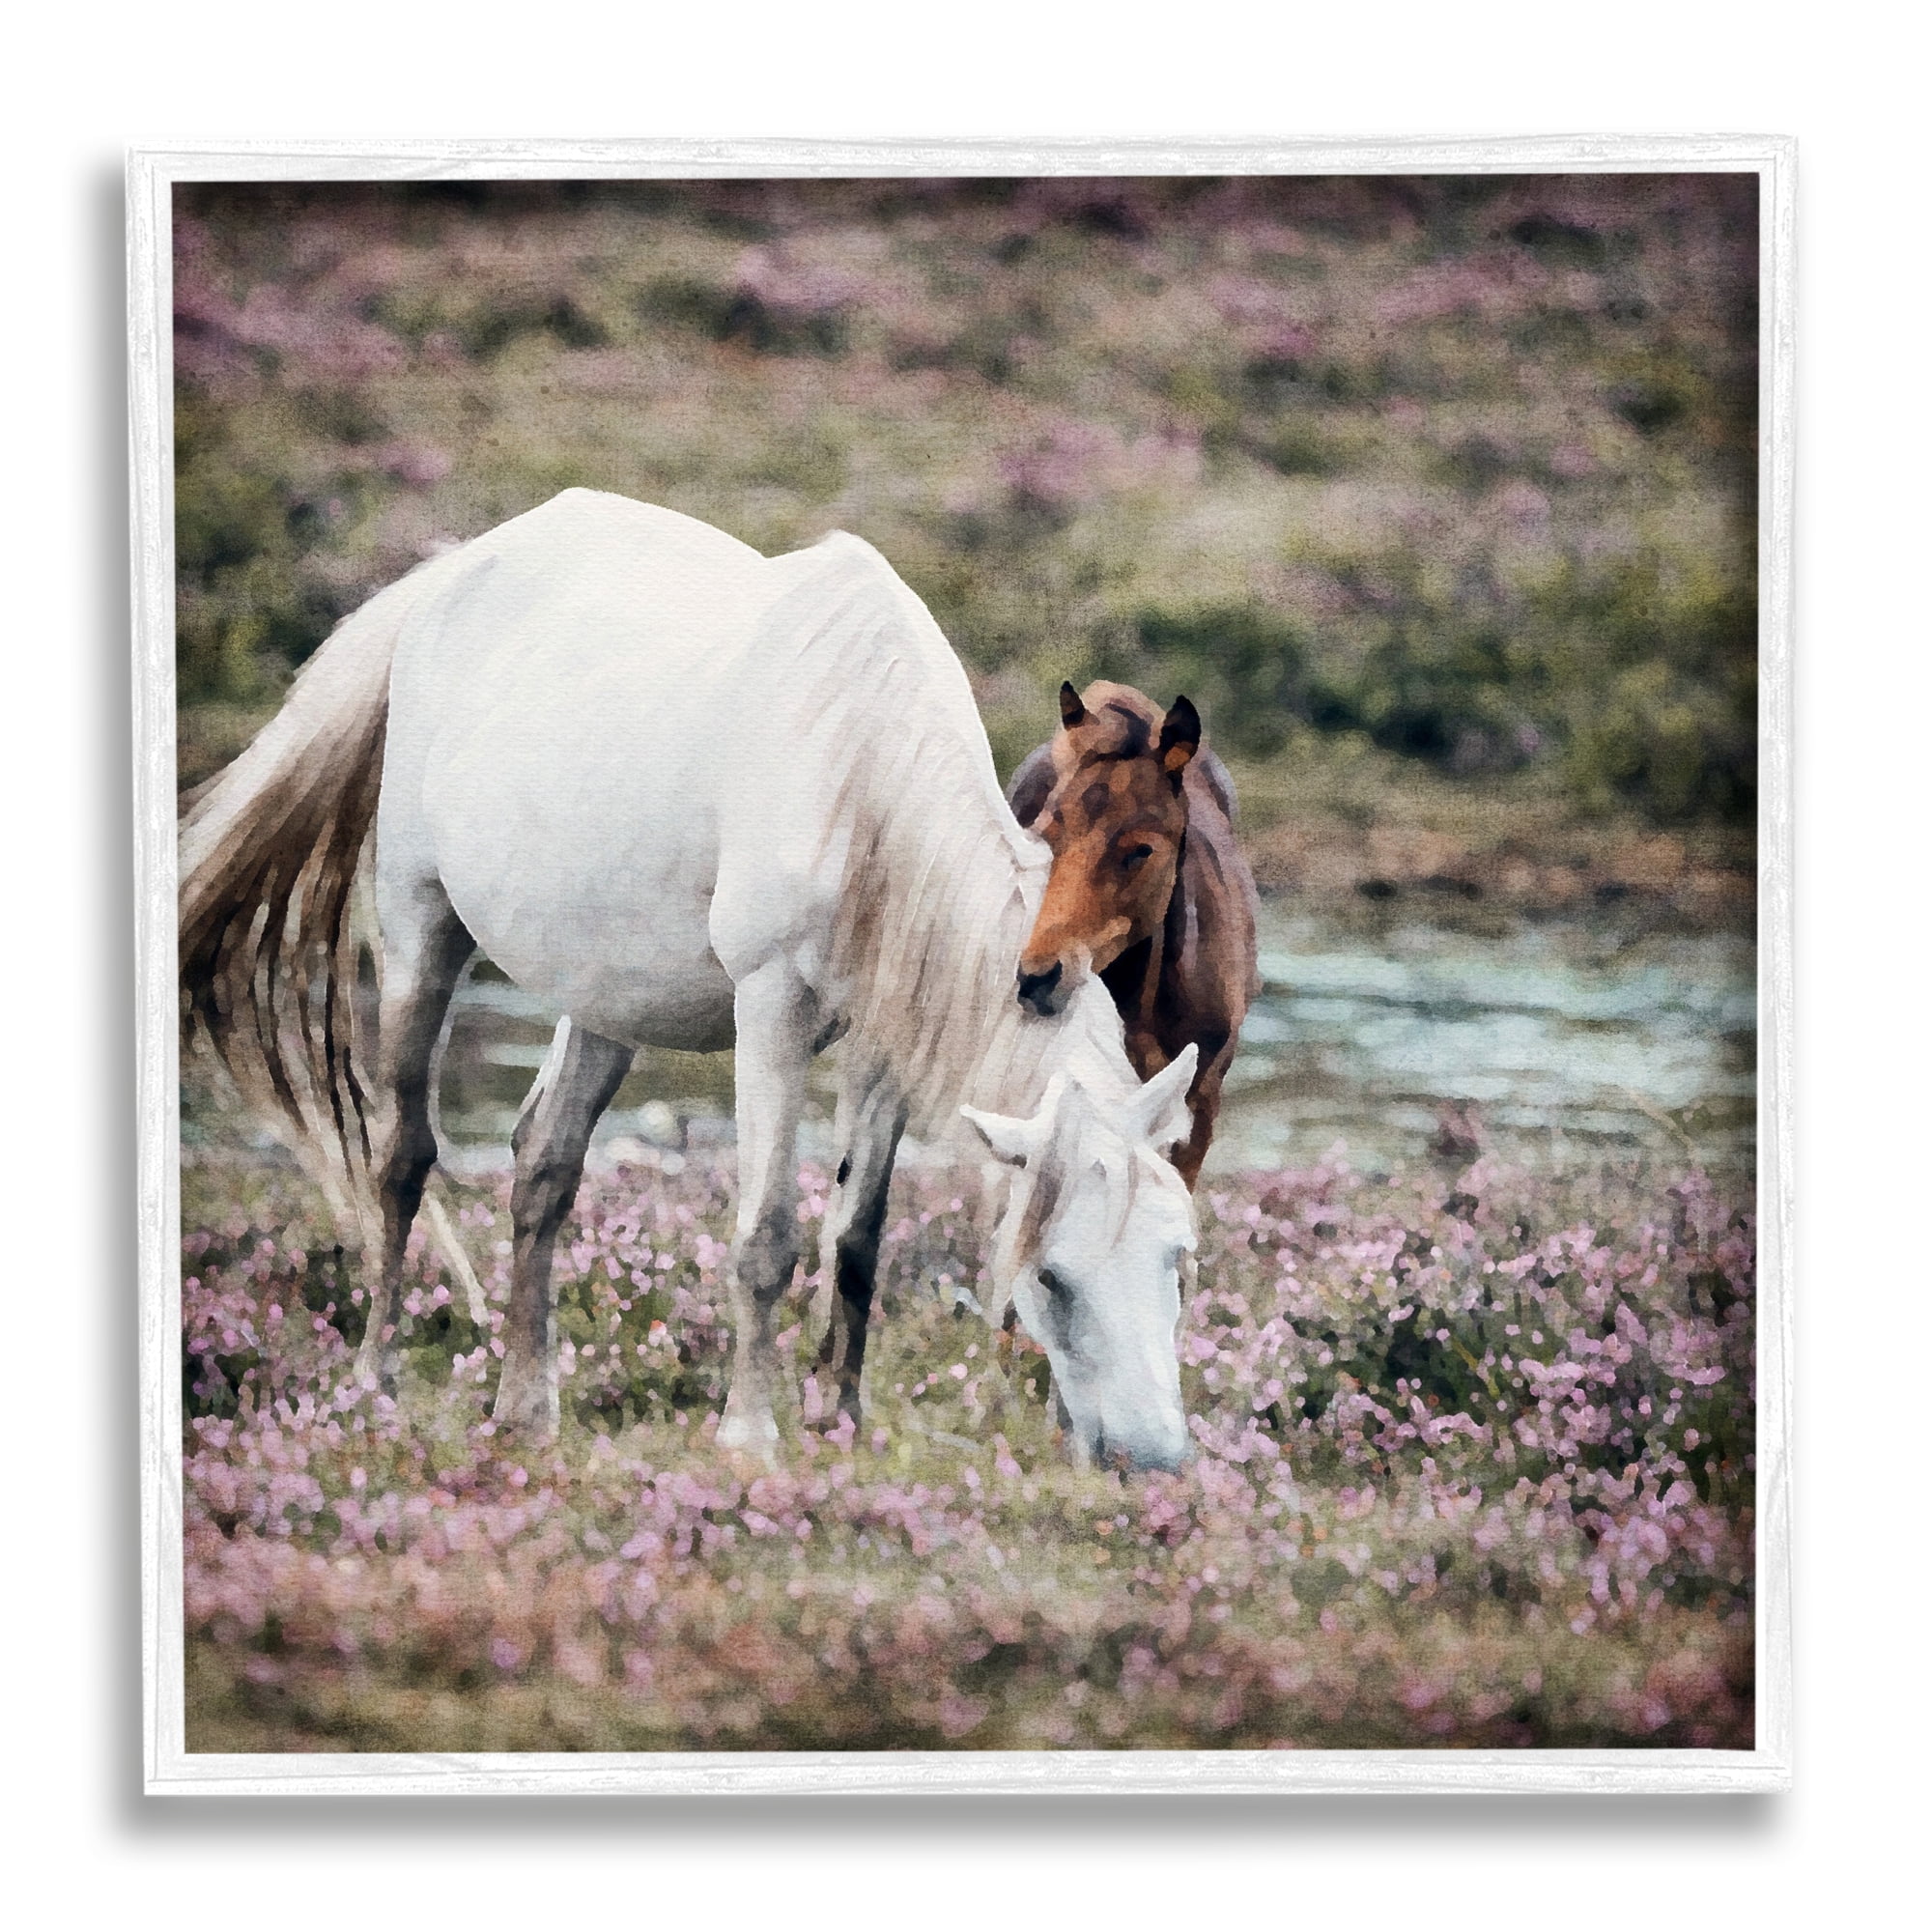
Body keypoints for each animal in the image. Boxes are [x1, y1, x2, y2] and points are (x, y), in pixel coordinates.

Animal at [179, 490, 1200, 1471]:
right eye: (1052, 1277)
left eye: (1177, 1257)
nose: (1152, 1458)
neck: (859, 774)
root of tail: (450, 574)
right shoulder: (772, 1010)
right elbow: (767, 1236)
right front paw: (751, 1434)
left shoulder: (885, 1041)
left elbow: (857, 1239)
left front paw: (845, 1422)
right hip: (419, 928)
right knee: (401, 1160)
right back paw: (375, 1386)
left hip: (605, 994)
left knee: (542, 1163)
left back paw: (525, 1409)